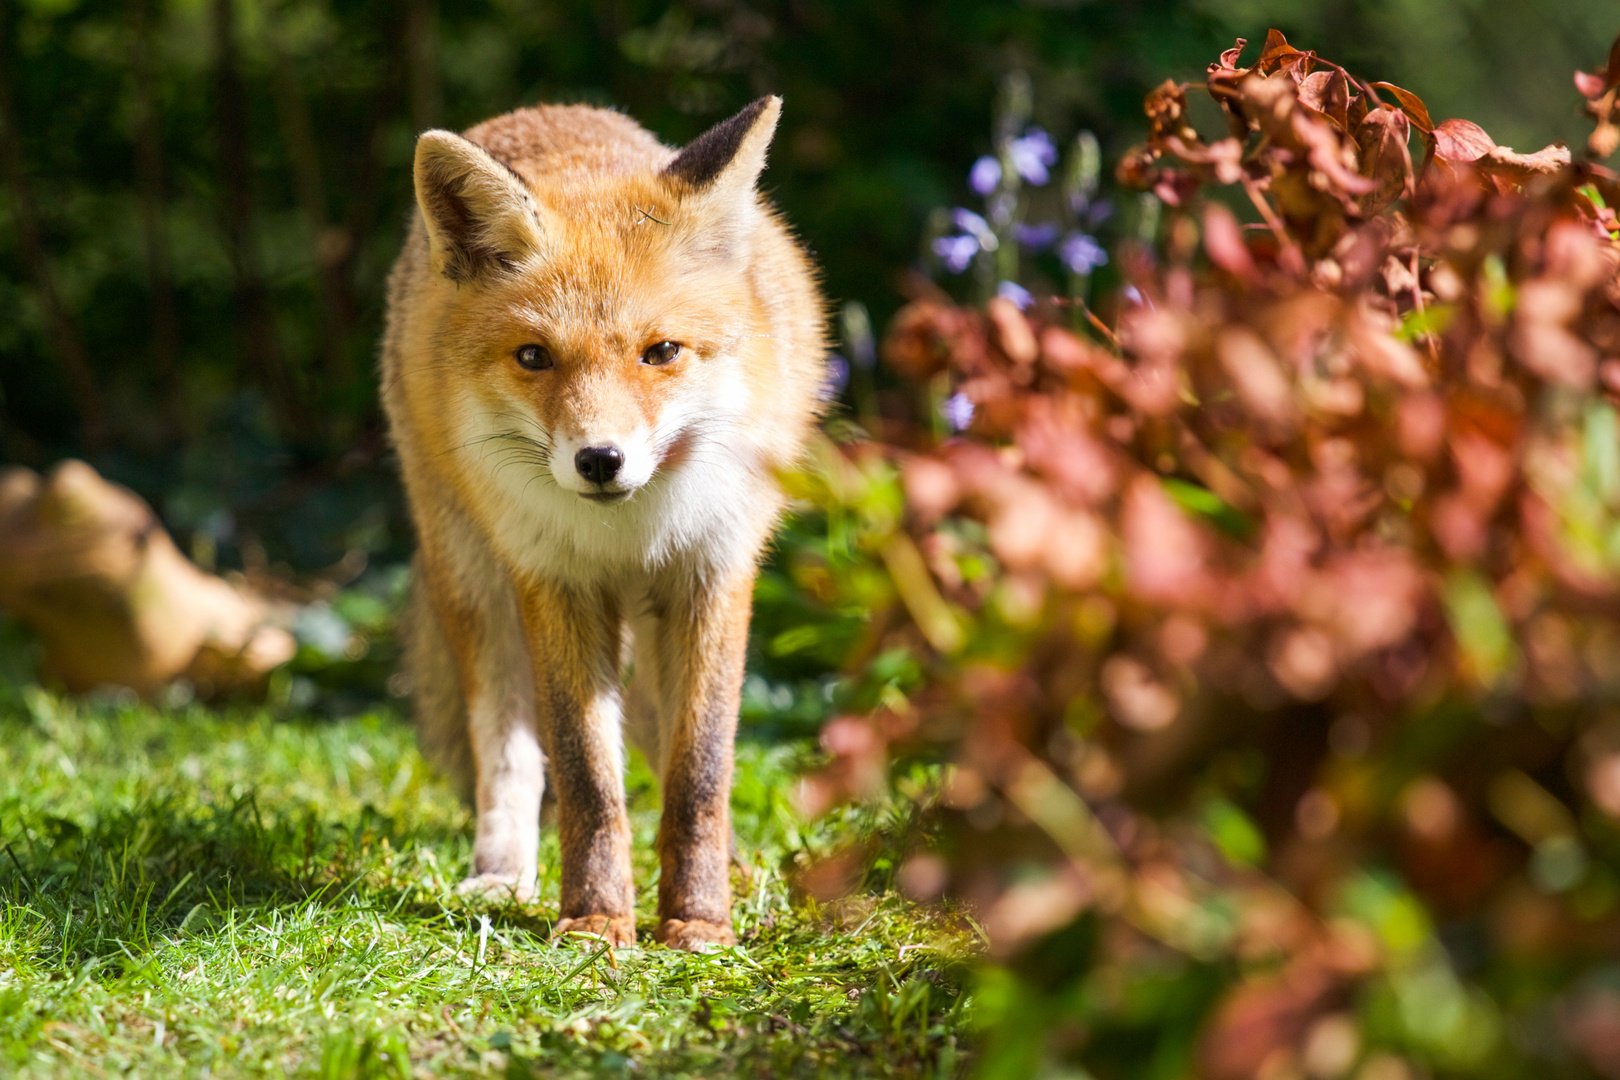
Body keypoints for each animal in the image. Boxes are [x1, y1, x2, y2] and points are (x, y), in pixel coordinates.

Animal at [382, 97, 822, 952]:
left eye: (661, 351)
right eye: (533, 356)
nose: (600, 460)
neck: (629, 533)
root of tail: (547, 109)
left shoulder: (713, 572)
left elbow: (700, 774)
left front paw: (699, 920)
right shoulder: (554, 581)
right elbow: (587, 779)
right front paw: (594, 922)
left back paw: (742, 874)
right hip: (476, 586)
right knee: (510, 755)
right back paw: (502, 874)